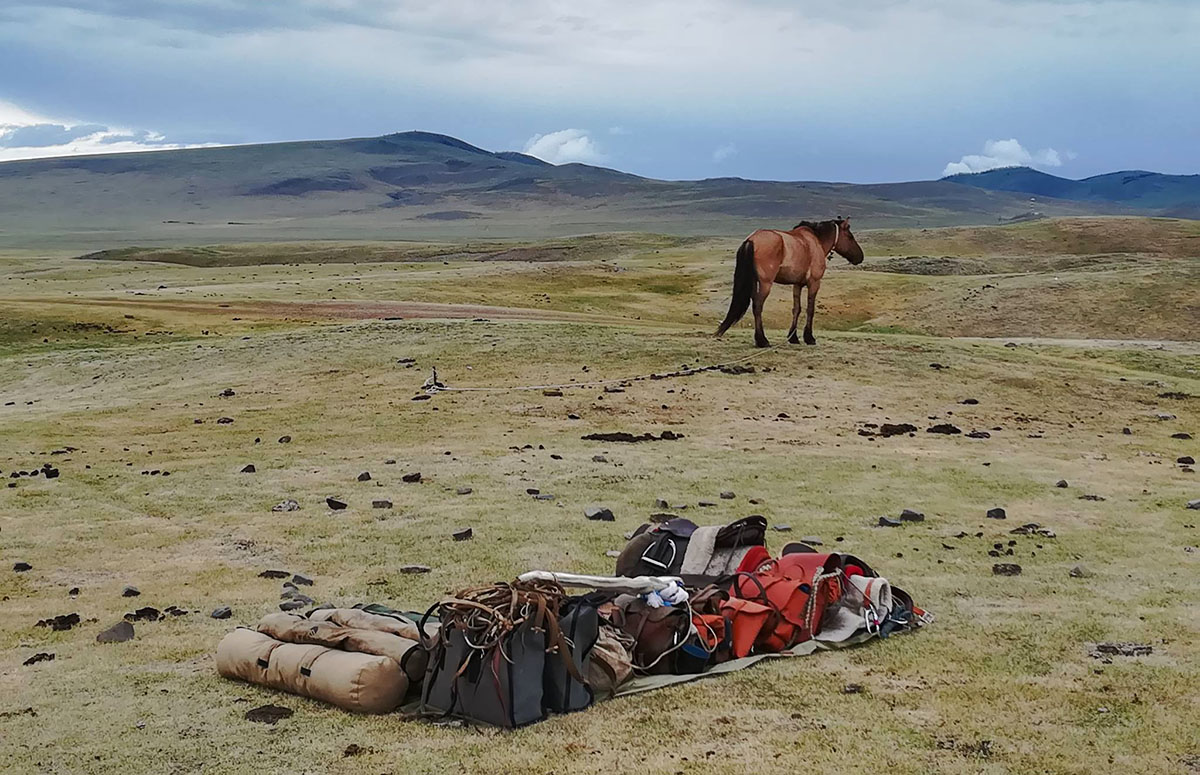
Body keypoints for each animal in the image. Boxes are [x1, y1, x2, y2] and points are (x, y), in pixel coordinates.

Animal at [710, 217, 864, 347]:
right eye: (850, 236)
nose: (860, 257)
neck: (815, 241)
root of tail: (751, 240)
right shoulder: (814, 283)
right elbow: (810, 309)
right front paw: (809, 338)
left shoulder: (797, 285)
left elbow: (796, 309)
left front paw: (793, 337)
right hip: (766, 284)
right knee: (758, 306)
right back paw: (762, 340)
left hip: (755, 283)